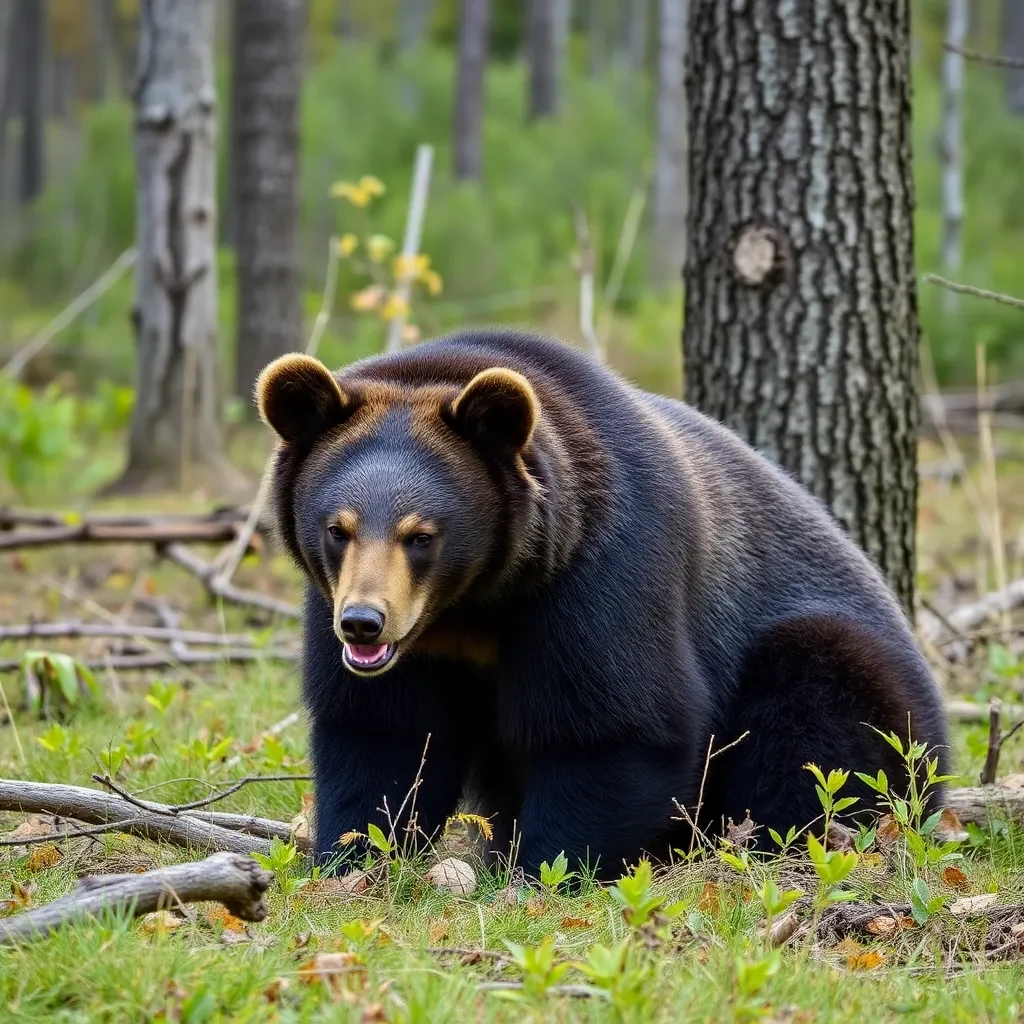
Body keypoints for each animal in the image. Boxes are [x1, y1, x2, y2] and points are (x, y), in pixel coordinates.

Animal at [256, 327, 950, 880]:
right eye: (337, 528)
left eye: (420, 534)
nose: (364, 624)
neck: (475, 603)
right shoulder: (383, 628)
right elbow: (382, 733)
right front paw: (353, 858)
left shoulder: (601, 575)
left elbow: (614, 725)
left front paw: (546, 870)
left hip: (863, 689)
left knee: (817, 712)